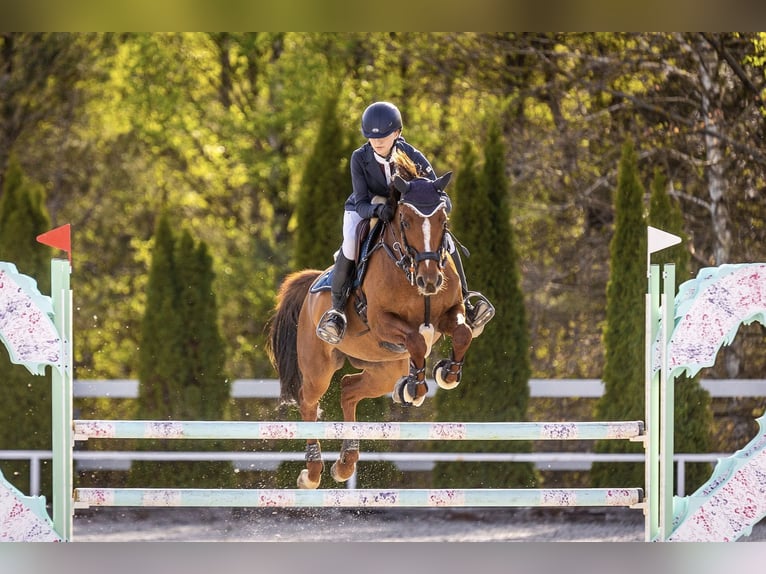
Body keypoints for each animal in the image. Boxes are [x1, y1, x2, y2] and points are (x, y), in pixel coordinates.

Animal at [266, 172, 474, 489]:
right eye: (405, 221)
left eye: (443, 220)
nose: (429, 280)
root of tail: (313, 282)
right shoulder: (381, 321)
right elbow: (416, 339)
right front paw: (416, 387)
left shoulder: (451, 312)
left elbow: (462, 333)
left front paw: (446, 374)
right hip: (318, 367)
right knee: (308, 401)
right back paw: (312, 472)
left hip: (383, 370)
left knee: (349, 389)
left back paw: (345, 464)